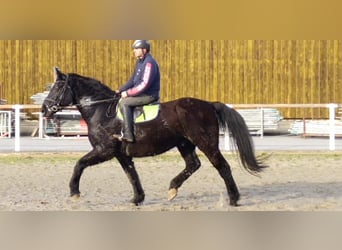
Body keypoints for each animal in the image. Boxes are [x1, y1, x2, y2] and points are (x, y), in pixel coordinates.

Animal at [42, 67, 268, 206]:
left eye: (58, 87)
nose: (44, 109)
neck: (101, 110)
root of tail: (209, 104)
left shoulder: (104, 151)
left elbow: (79, 165)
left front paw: (74, 192)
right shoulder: (121, 154)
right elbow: (132, 175)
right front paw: (137, 198)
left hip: (206, 143)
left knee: (222, 166)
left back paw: (233, 198)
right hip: (185, 144)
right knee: (193, 164)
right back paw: (173, 188)